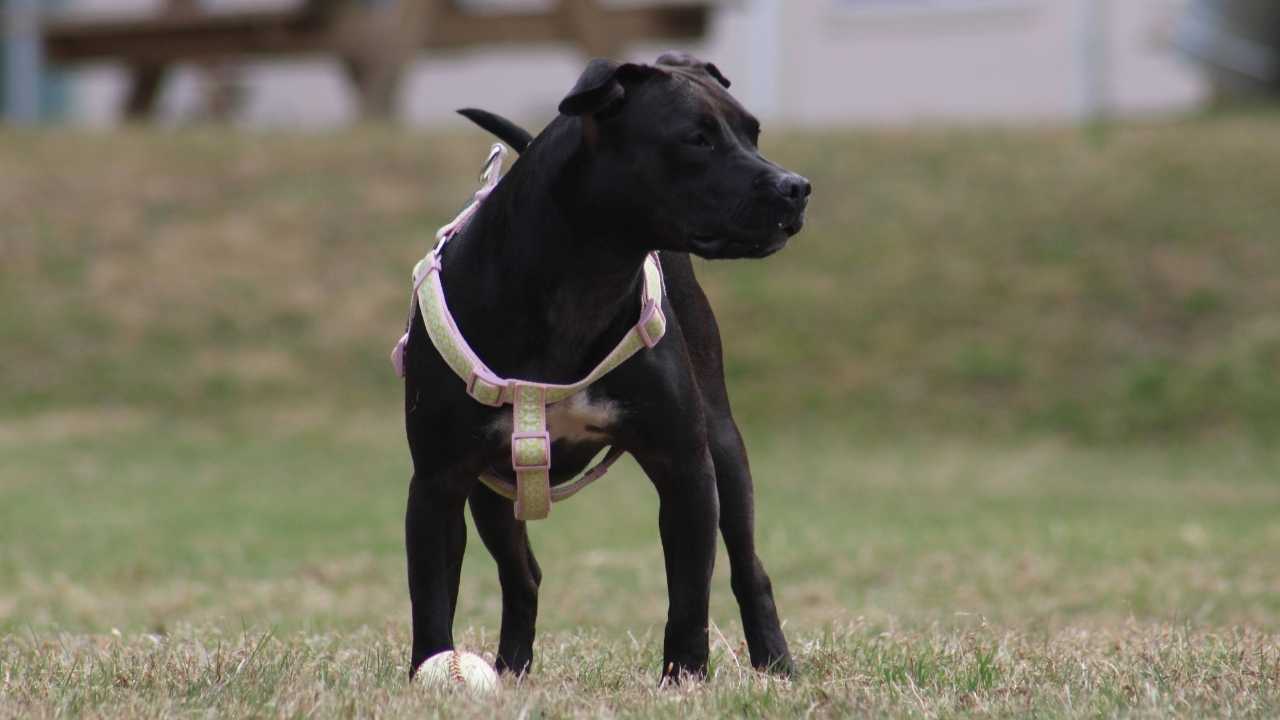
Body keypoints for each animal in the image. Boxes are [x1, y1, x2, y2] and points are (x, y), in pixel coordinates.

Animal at [401, 51, 808, 676]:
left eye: (753, 132)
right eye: (696, 139)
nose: (797, 187)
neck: (585, 280)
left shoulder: (685, 466)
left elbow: (689, 595)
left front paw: (684, 679)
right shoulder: (438, 482)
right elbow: (432, 597)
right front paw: (431, 671)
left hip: (725, 446)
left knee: (748, 566)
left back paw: (775, 663)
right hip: (495, 490)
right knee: (522, 575)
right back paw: (512, 669)